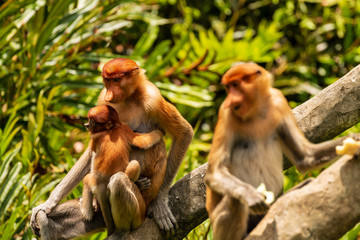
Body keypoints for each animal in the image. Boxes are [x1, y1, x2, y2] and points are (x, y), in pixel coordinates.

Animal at [80, 105, 165, 236]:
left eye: (92, 121)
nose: (86, 125)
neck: (111, 130)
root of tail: (101, 184)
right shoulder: (124, 128)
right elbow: (142, 142)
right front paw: (159, 133)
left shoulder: (95, 137)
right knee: (134, 164)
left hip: (93, 181)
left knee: (87, 179)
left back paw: (87, 214)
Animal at [204, 62, 358, 239]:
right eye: (228, 88)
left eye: (235, 85)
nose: (230, 99)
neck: (256, 110)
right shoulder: (226, 114)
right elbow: (215, 173)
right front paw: (252, 197)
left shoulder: (279, 102)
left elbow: (305, 157)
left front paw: (354, 141)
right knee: (235, 201)